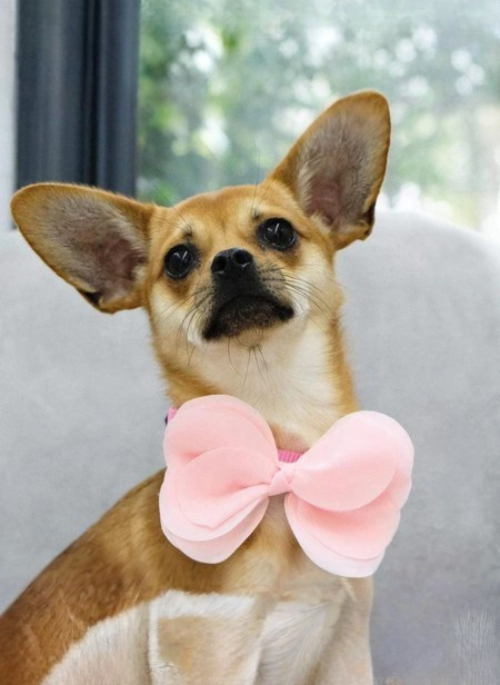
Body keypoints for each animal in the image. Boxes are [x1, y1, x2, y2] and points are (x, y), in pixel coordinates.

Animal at [1, 90, 391, 684]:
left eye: (279, 231)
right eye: (179, 259)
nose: (231, 260)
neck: (277, 456)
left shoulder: (345, 642)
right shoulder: (211, 645)